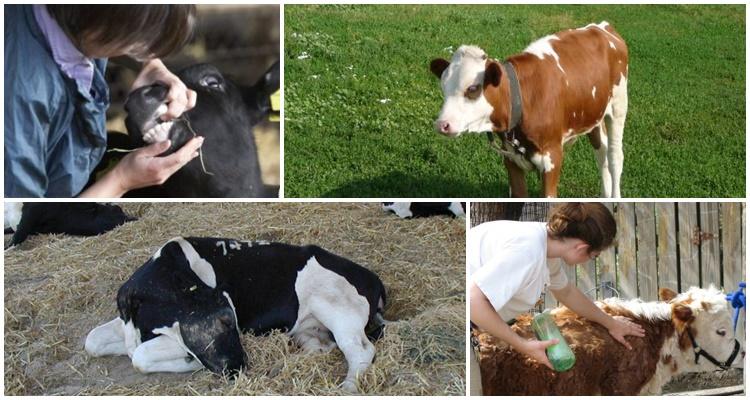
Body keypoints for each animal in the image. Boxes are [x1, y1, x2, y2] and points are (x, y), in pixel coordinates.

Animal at [85, 238, 384, 390]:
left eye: (231, 319)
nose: (240, 366)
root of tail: (373, 279)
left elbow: (139, 355)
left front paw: (189, 362)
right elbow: (93, 340)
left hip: (337, 306)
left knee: (361, 350)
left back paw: (347, 387)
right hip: (312, 327)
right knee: (320, 346)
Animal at [432, 21, 632, 197]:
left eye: (473, 88)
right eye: (443, 87)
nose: (442, 124)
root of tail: (601, 26)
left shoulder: (552, 157)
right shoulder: (511, 159)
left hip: (618, 106)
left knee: (615, 156)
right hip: (594, 113)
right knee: (601, 153)